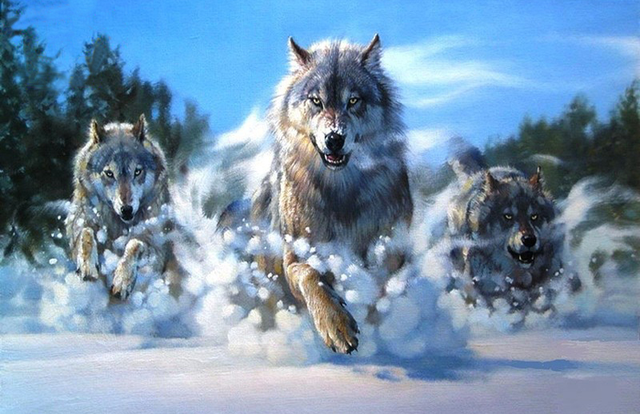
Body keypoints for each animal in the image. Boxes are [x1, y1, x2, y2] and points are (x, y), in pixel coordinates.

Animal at [66, 115, 180, 299]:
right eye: (109, 173)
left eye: (137, 171)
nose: (126, 209)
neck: (119, 226)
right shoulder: (80, 225)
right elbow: (86, 233)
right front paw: (87, 266)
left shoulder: (156, 248)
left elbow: (134, 244)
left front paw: (122, 280)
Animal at [219, 35, 413, 354]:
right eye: (316, 101)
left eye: (353, 100)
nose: (334, 138)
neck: (341, 191)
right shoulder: (297, 255)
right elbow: (311, 275)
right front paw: (336, 325)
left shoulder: (392, 250)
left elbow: (382, 289)